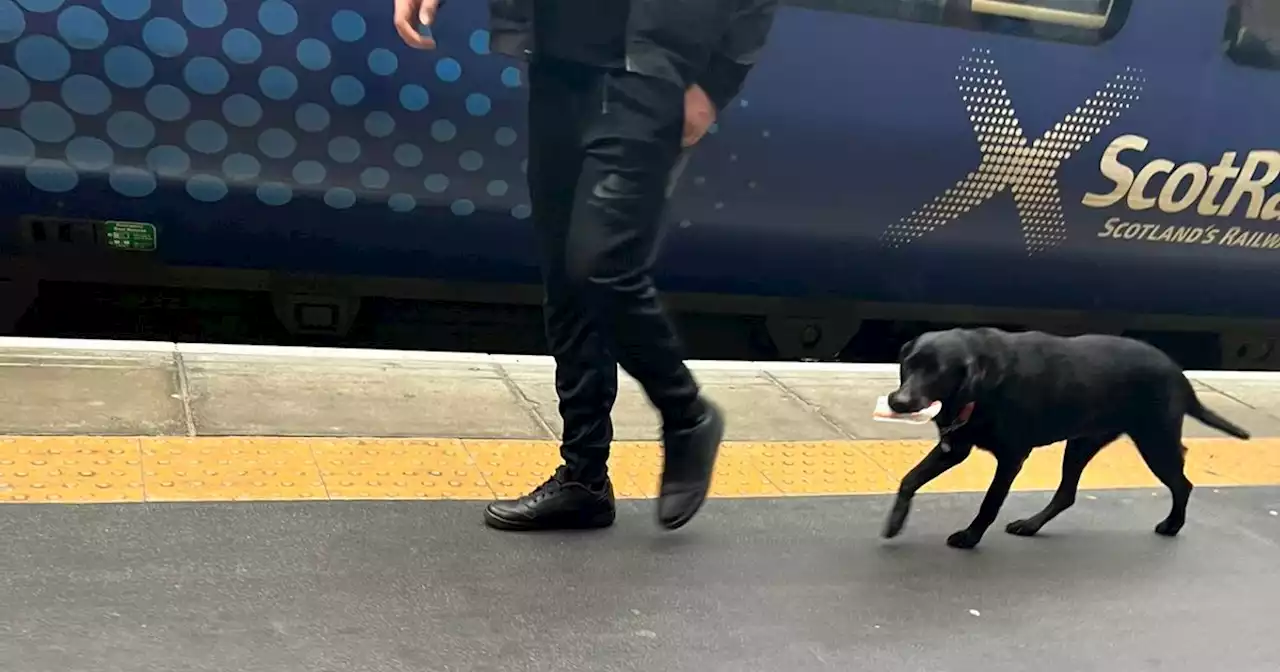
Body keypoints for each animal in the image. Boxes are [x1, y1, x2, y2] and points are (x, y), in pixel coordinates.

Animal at [880, 326, 1249, 550]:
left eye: (937, 371)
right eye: (908, 364)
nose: (898, 401)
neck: (984, 384)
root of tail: (1178, 373)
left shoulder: (1012, 457)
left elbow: (990, 502)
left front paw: (971, 537)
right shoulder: (954, 447)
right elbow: (909, 479)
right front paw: (895, 524)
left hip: (1155, 442)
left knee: (1182, 484)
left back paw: (1173, 525)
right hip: (1082, 443)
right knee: (1067, 494)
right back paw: (1031, 525)